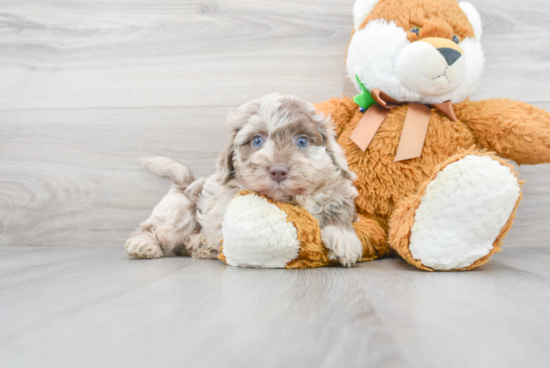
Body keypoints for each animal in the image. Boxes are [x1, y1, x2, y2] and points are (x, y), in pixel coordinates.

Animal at [127, 94, 364, 268]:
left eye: (302, 141)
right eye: (257, 141)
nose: (278, 171)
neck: (289, 198)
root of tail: (186, 184)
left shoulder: (339, 190)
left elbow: (339, 209)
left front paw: (343, 239)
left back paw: (200, 245)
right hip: (178, 211)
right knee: (152, 229)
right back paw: (143, 245)